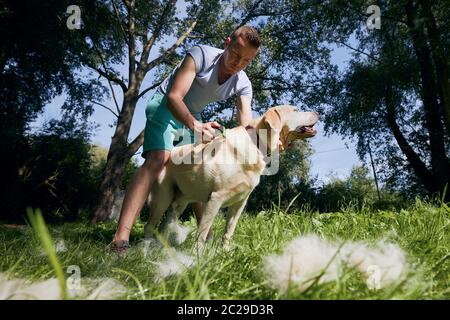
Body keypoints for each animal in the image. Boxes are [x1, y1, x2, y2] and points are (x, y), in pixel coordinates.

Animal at [143, 105, 316, 248]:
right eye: (295, 110)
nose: (317, 113)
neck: (256, 144)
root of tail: (169, 153)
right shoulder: (215, 199)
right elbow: (202, 232)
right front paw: (197, 257)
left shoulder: (239, 203)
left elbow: (228, 231)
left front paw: (225, 252)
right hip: (162, 198)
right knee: (150, 226)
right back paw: (143, 251)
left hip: (180, 202)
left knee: (165, 227)